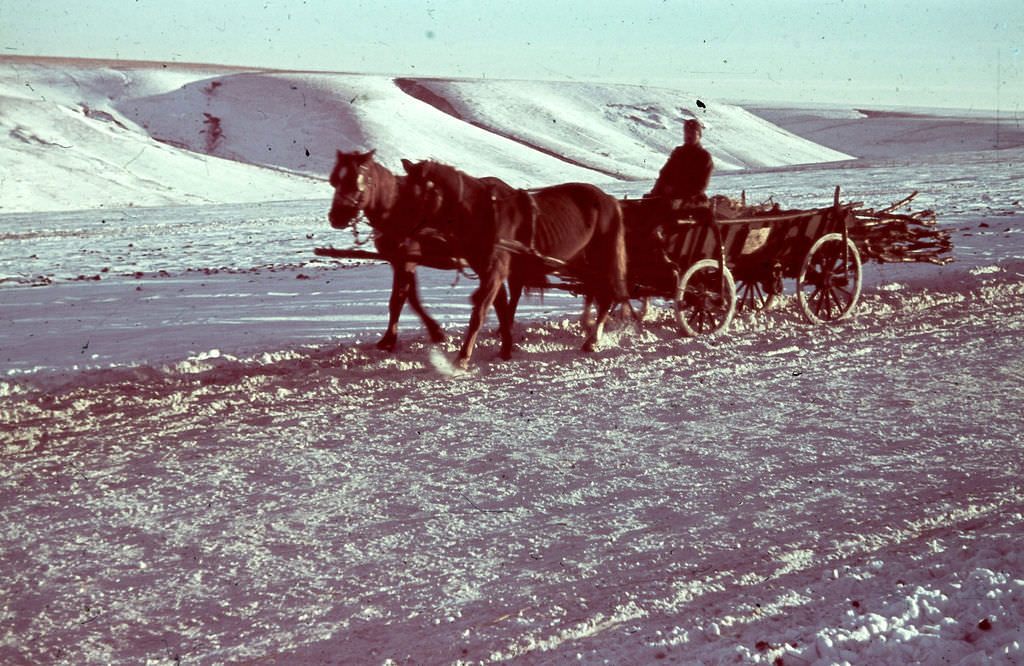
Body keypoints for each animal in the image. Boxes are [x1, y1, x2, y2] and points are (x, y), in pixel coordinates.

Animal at [397, 158, 622, 370]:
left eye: (417, 195)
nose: (398, 234)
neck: (482, 215)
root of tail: (610, 200)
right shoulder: (491, 273)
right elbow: (503, 311)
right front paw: (505, 349)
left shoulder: (494, 273)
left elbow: (479, 314)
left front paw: (462, 358)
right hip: (582, 263)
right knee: (594, 292)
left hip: (600, 260)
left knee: (605, 296)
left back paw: (592, 339)